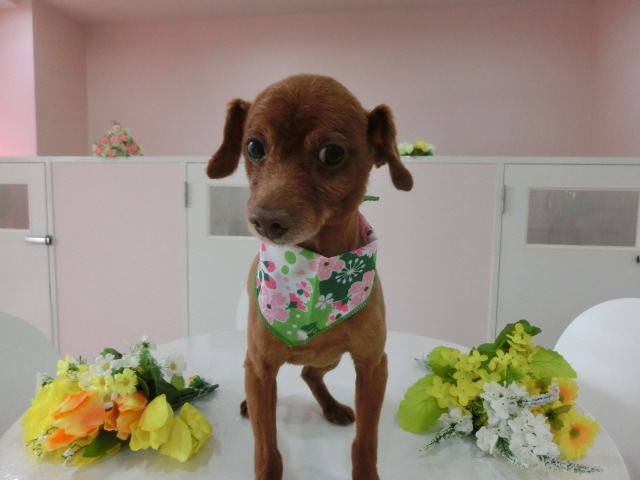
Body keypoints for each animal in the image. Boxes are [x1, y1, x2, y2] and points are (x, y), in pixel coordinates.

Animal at [206, 74, 413, 480]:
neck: (315, 274)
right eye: (253, 147)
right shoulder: (260, 367)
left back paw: (331, 406)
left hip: (330, 359)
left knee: (309, 374)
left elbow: (366, 443)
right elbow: (266, 449)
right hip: (257, 364)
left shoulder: (372, 366)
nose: (265, 220)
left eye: (332, 153)